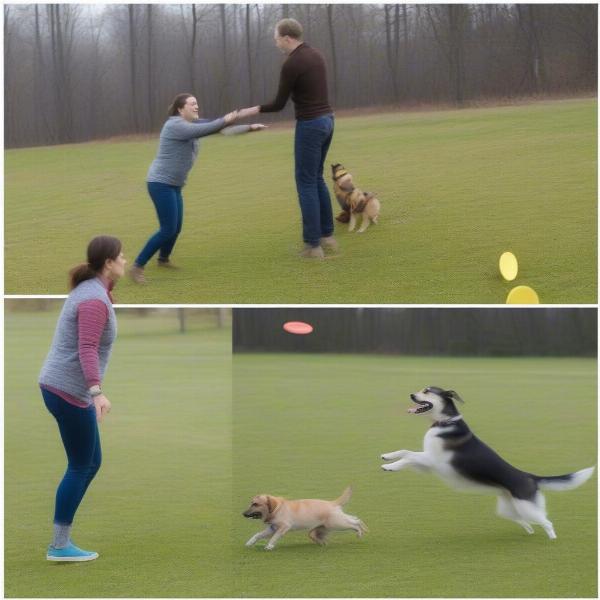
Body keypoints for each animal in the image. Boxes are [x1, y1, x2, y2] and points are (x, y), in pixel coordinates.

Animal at [382, 386, 592, 540]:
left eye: (426, 391)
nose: (411, 394)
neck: (445, 422)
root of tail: (529, 476)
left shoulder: (433, 460)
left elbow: (409, 456)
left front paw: (390, 467)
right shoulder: (427, 463)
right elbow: (405, 452)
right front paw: (387, 456)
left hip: (527, 507)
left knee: (547, 522)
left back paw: (552, 538)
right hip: (509, 508)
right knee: (525, 521)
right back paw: (529, 530)